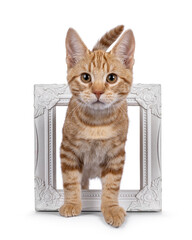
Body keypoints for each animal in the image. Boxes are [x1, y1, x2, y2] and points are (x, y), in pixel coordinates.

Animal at [59, 25, 136, 227]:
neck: (97, 123)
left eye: (112, 78)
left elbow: (112, 185)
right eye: (86, 77)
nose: (98, 91)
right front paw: (72, 203)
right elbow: (70, 180)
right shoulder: (68, 150)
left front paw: (111, 208)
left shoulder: (116, 155)